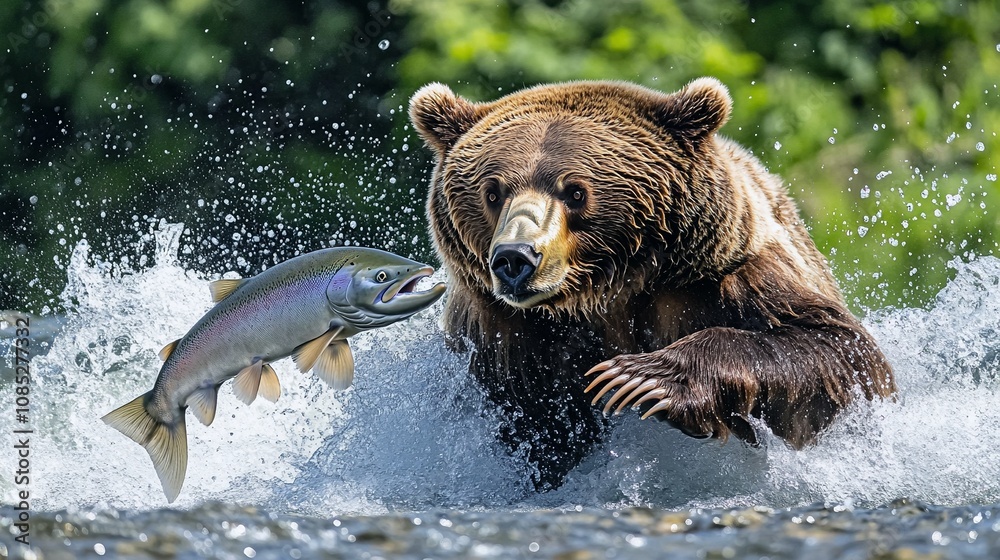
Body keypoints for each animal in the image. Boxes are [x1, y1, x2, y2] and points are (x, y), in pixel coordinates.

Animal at [408, 77, 896, 490]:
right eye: (493, 192)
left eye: (575, 191)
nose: (516, 258)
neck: (604, 293)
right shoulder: (497, 332)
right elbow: (529, 419)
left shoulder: (727, 273)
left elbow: (839, 350)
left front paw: (640, 377)